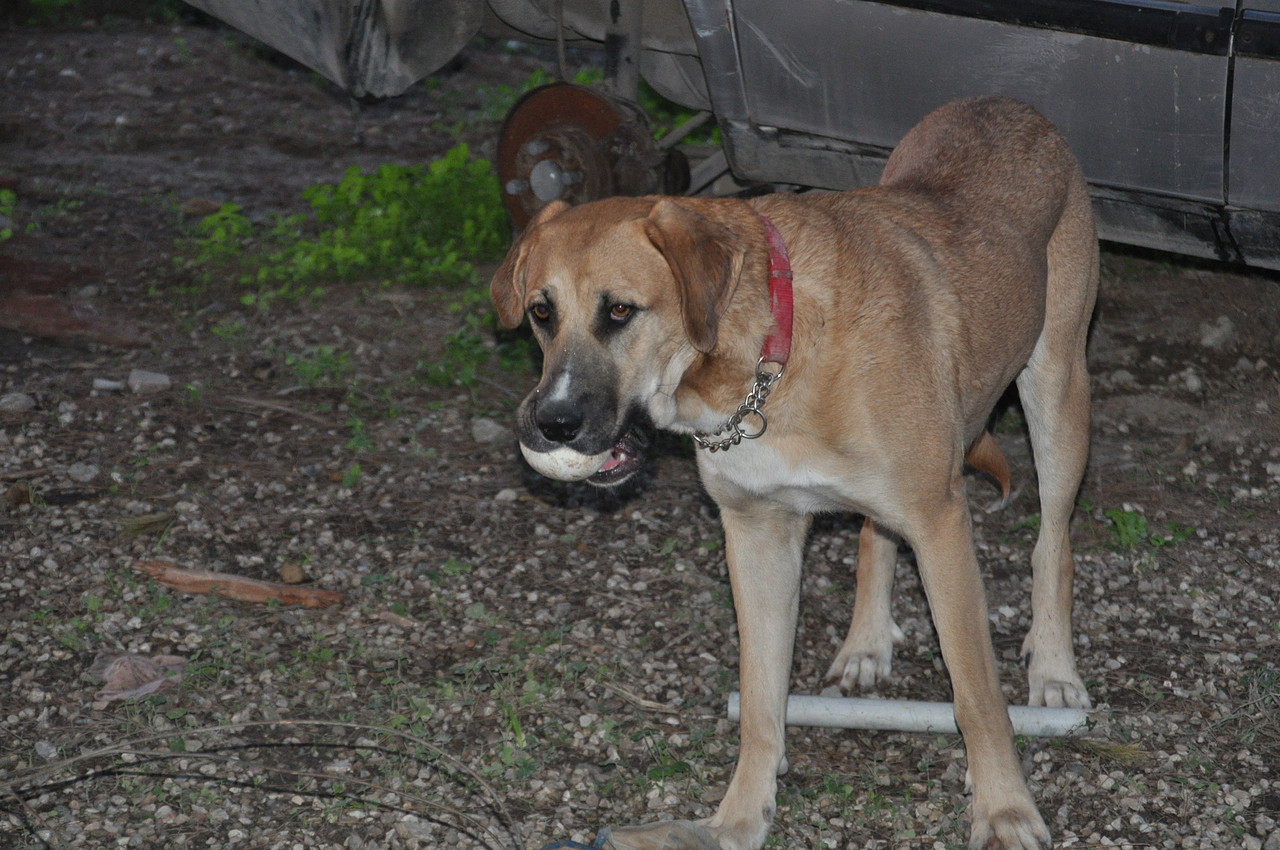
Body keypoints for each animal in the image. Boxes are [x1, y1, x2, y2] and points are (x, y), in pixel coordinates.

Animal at [494, 96, 1095, 850]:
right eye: (542, 312)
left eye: (621, 310)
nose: (553, 422)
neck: (766, 360)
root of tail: (1008, 105)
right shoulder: (758, 535)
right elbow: (759, 700)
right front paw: (739, 818)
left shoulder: (941, 526)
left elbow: (978, 696)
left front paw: (1005, 809)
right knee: (874, 534)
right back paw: (866, 642)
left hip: (1056, 391)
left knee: (1053, 542)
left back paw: (1054, 666)